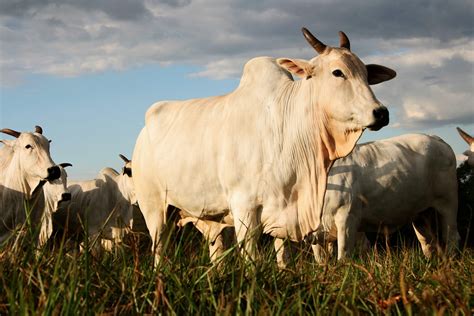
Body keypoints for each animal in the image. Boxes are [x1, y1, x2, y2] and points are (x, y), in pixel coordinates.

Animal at [133, 27, 396, 266]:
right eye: (337, 72)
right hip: (154, 208)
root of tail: (143, 133)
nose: (381, 113)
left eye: (366, 74)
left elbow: (284, 257)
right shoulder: (244, 208)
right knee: (159, 250)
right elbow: (251, 258)